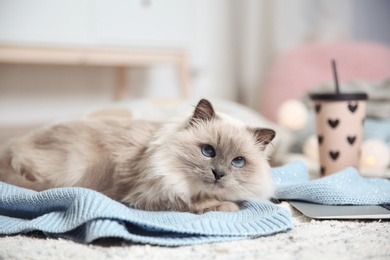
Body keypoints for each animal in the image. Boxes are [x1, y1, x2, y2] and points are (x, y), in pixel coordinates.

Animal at [0, 99, 276, 213]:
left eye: (238, 162)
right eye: (208, 151)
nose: (218, 173)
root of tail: (11, 146)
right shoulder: (153, 194)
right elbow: (202, 203)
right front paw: (226, 206)